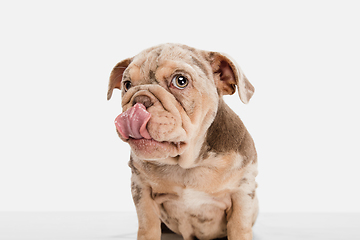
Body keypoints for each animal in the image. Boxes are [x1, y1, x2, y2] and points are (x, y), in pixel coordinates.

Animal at [107, 43, 258, 240]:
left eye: (180, 81)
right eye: (127, 84)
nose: (139, 100)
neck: (187, 164)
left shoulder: (242, 191)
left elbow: (239, 227)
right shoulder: (141, 189)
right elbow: (148, 225)